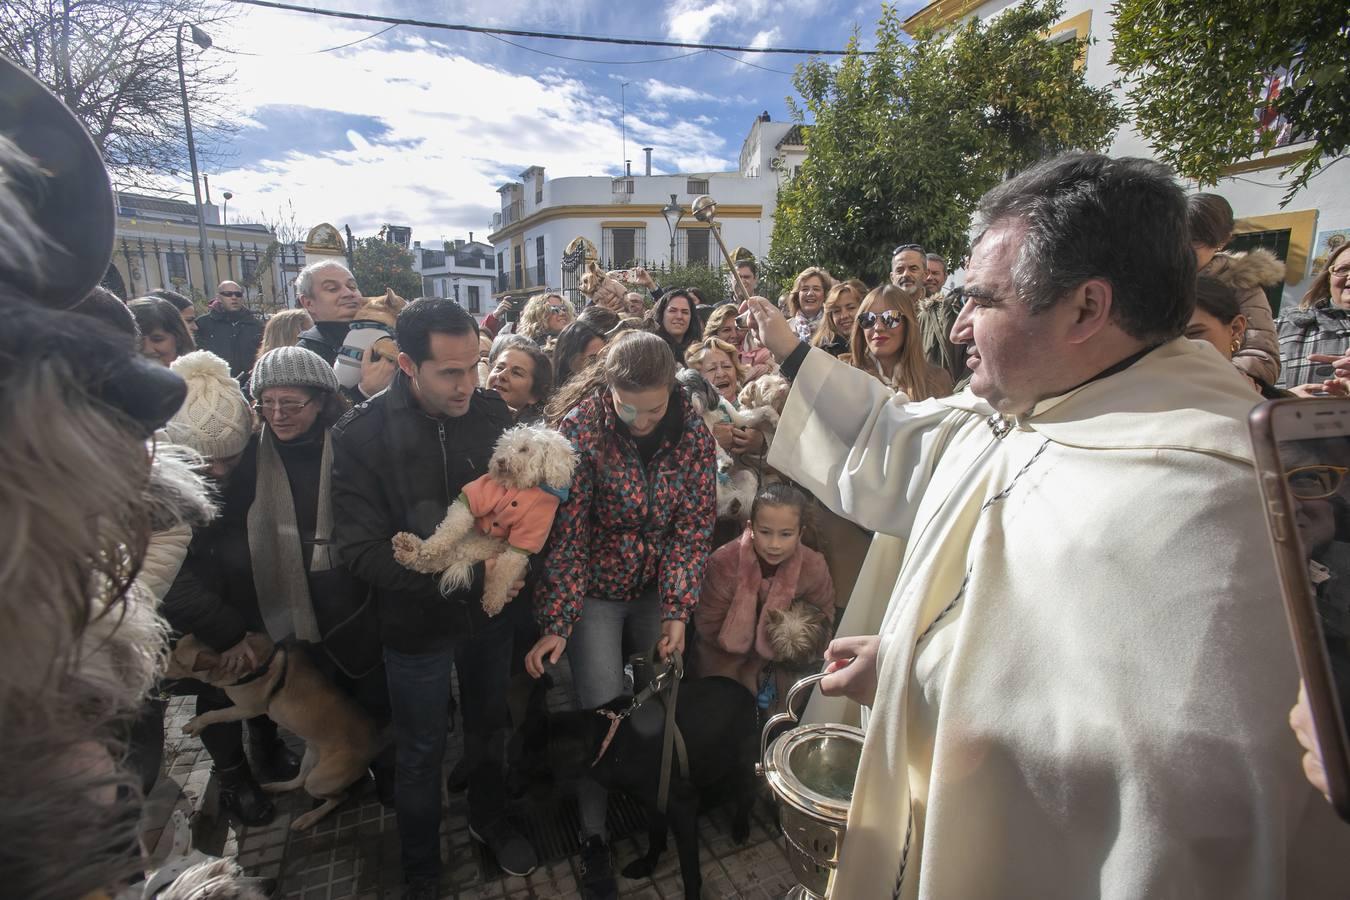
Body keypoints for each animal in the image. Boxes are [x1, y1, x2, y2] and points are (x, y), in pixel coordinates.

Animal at [168, 634, 383, 831]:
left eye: (178, 661)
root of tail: (374, 745)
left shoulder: (246, 709)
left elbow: (214, 714)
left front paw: (197, 723)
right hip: (310, 757)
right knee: (298, 781)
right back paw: (275, 787)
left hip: (320, 780)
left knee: (338, 796)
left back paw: (308, 818)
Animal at [394, 426, 577, 615]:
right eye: (504, 445)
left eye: (524, 449)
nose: (500, 460)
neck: (520, 488)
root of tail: (465, 552)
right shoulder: (474, 498)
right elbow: (452, 527)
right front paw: (432, 545)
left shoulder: (526, 539)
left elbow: (506, 571)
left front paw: (494, 599)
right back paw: (411, 547)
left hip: (466, 553)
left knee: (431, 563)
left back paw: (407, 551)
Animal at [534, 674, 761, 900]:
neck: (609, 738)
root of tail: (750, 695)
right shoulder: (652, 801)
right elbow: (655, 834)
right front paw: (648, 863)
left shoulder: (682, 806)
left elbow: (688, 867)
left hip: (745, 764)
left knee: (748, 794)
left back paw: (740, 826)